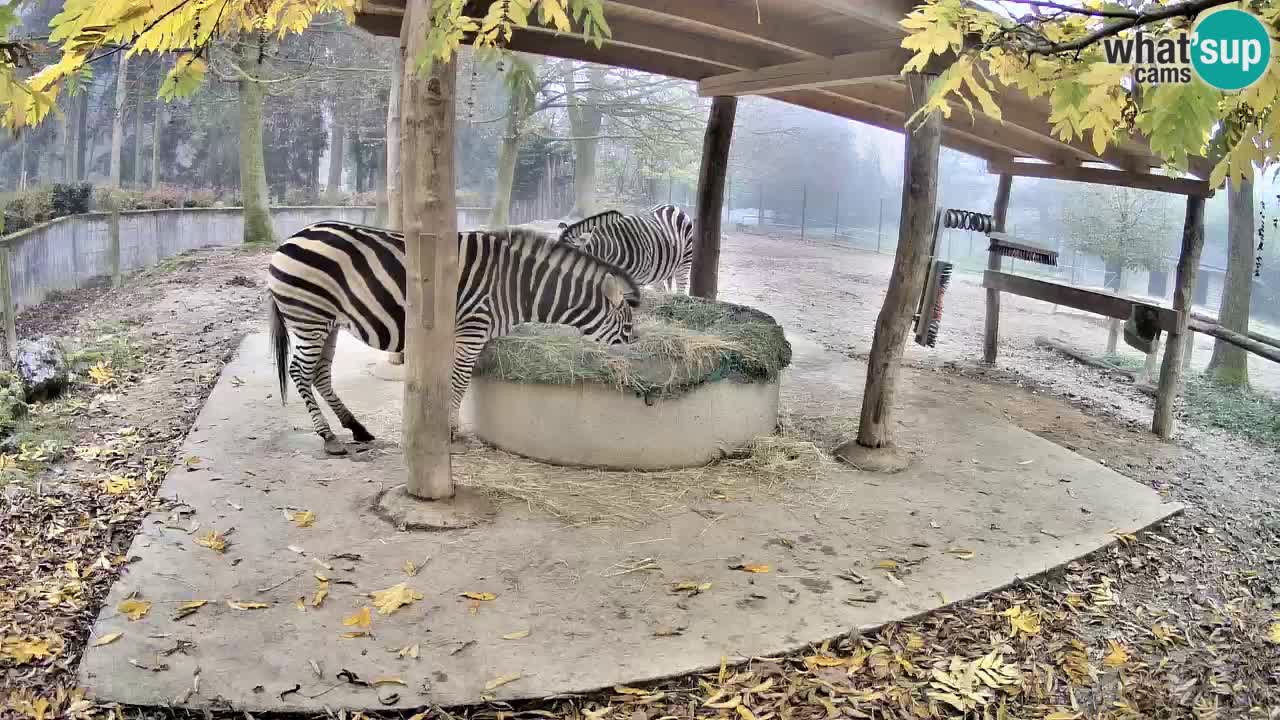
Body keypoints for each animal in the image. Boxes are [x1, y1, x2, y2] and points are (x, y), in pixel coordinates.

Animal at [267, 220, 642, 456]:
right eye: (626, 329)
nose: (634, 361)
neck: (517, 287)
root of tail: (288, 240)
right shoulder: (472, 330)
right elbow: (460, 382)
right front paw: (450, 432)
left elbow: (456, 381)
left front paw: (445, 425)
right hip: (310, 317)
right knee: (300, 371)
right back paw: (329, 437)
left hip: (327, 321)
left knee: (319, 373)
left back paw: (355, 427)